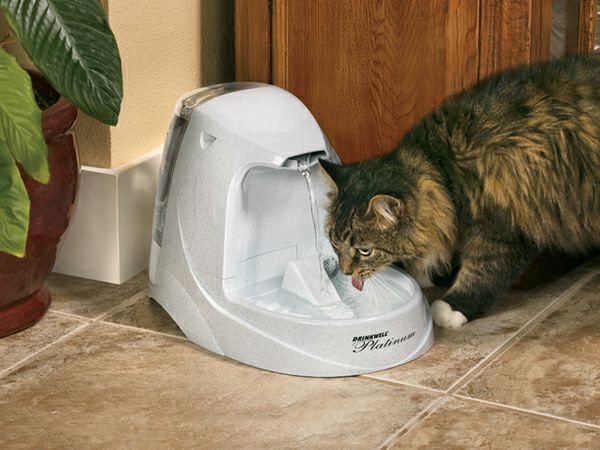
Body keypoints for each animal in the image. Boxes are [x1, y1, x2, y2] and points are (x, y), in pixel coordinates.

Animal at [320, 52, 600, 328]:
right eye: (334, 242)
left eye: (365, 250)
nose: (346, 271)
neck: (442, 168)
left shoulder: (502, 228)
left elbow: (482, 272)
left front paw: (453, 307)